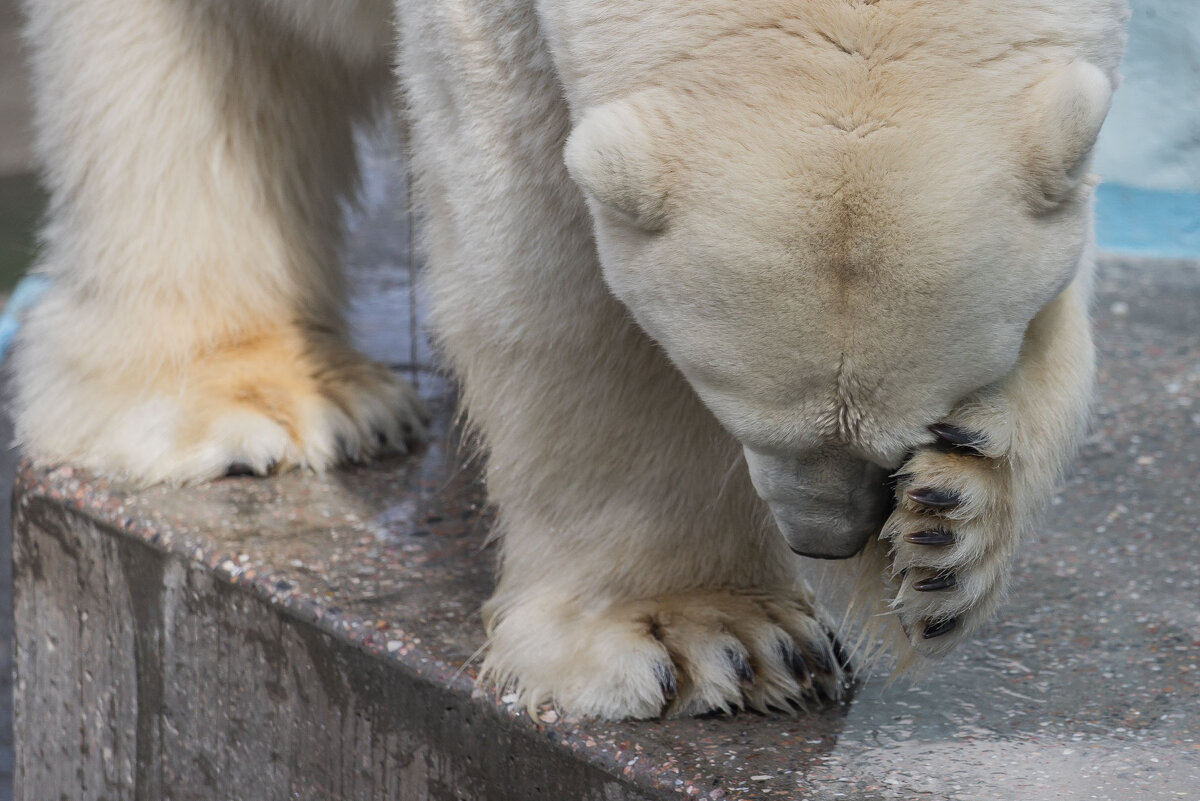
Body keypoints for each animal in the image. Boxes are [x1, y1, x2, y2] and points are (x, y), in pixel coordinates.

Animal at [16, 1, 1123, 719]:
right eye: (741, 406)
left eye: (909, 435)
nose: (828, 535)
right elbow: (554, 267)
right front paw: (710, 636)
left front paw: (951, 528)